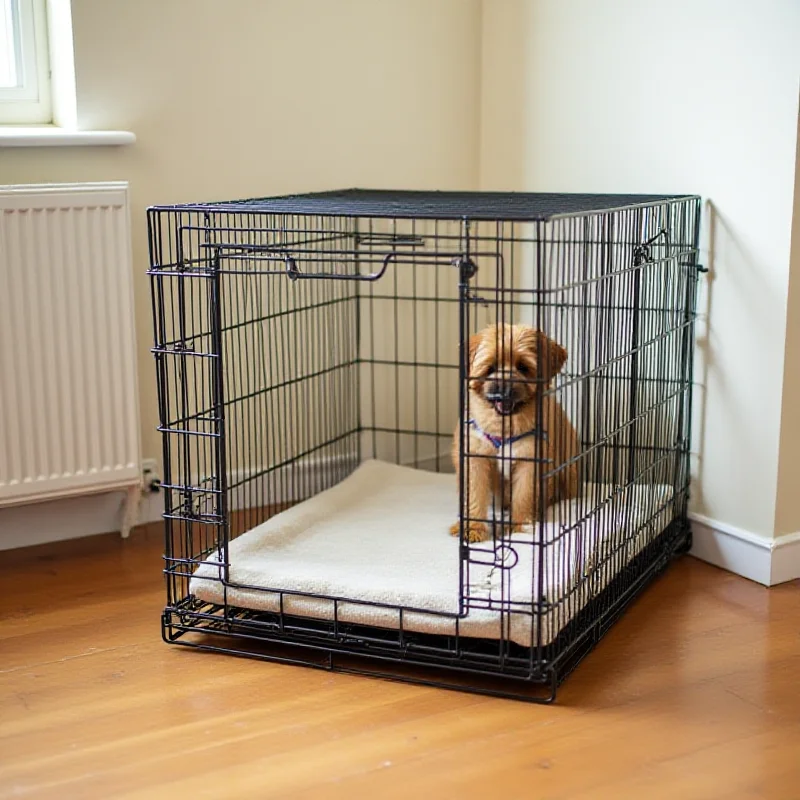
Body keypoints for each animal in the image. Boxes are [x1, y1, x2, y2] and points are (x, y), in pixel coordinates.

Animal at [446, 324, 580, 544]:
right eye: (491, 368)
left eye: (523, 367)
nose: (504, 388)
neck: (504, 425)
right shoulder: (474, 458)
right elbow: (473, 496)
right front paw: (472, 528)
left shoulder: (530, 461)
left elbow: (524, 496)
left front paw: (520, 527)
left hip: (569, 473)